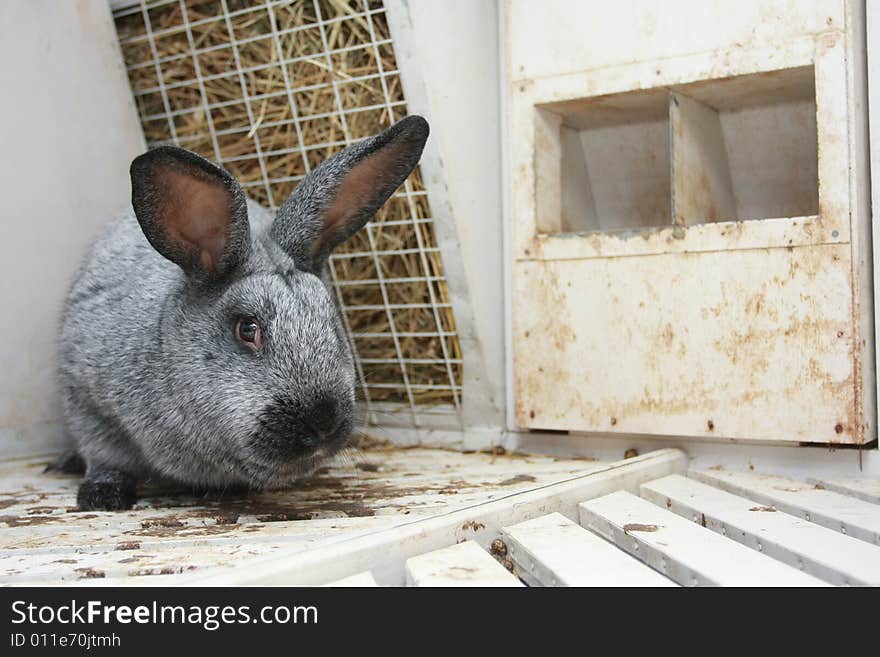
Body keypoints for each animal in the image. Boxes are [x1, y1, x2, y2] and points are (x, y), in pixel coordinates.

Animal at [51, 115, 430, 510]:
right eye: (247, 328)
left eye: (332, 323)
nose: (323, 422)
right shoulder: (87, 398)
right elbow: (105, 455)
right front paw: (102, 497)